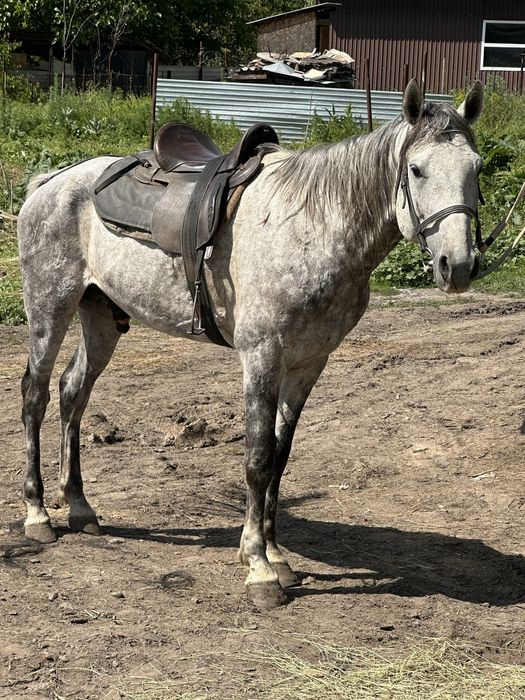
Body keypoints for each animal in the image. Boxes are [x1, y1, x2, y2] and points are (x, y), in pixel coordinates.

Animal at [17, 80, 483, 610]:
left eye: (476, 167)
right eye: (416, 169)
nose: (457, 266)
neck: (312, 228)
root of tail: (51, 182)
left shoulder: (308, 364)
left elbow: (280, 457)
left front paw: (275, 556)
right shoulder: (262, 358)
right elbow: (258, 459)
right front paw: (259, 570)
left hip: (100, 318)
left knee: (72, 393)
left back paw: (79, 506)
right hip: (49, 308)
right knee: (35, 395)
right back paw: (38, 514)